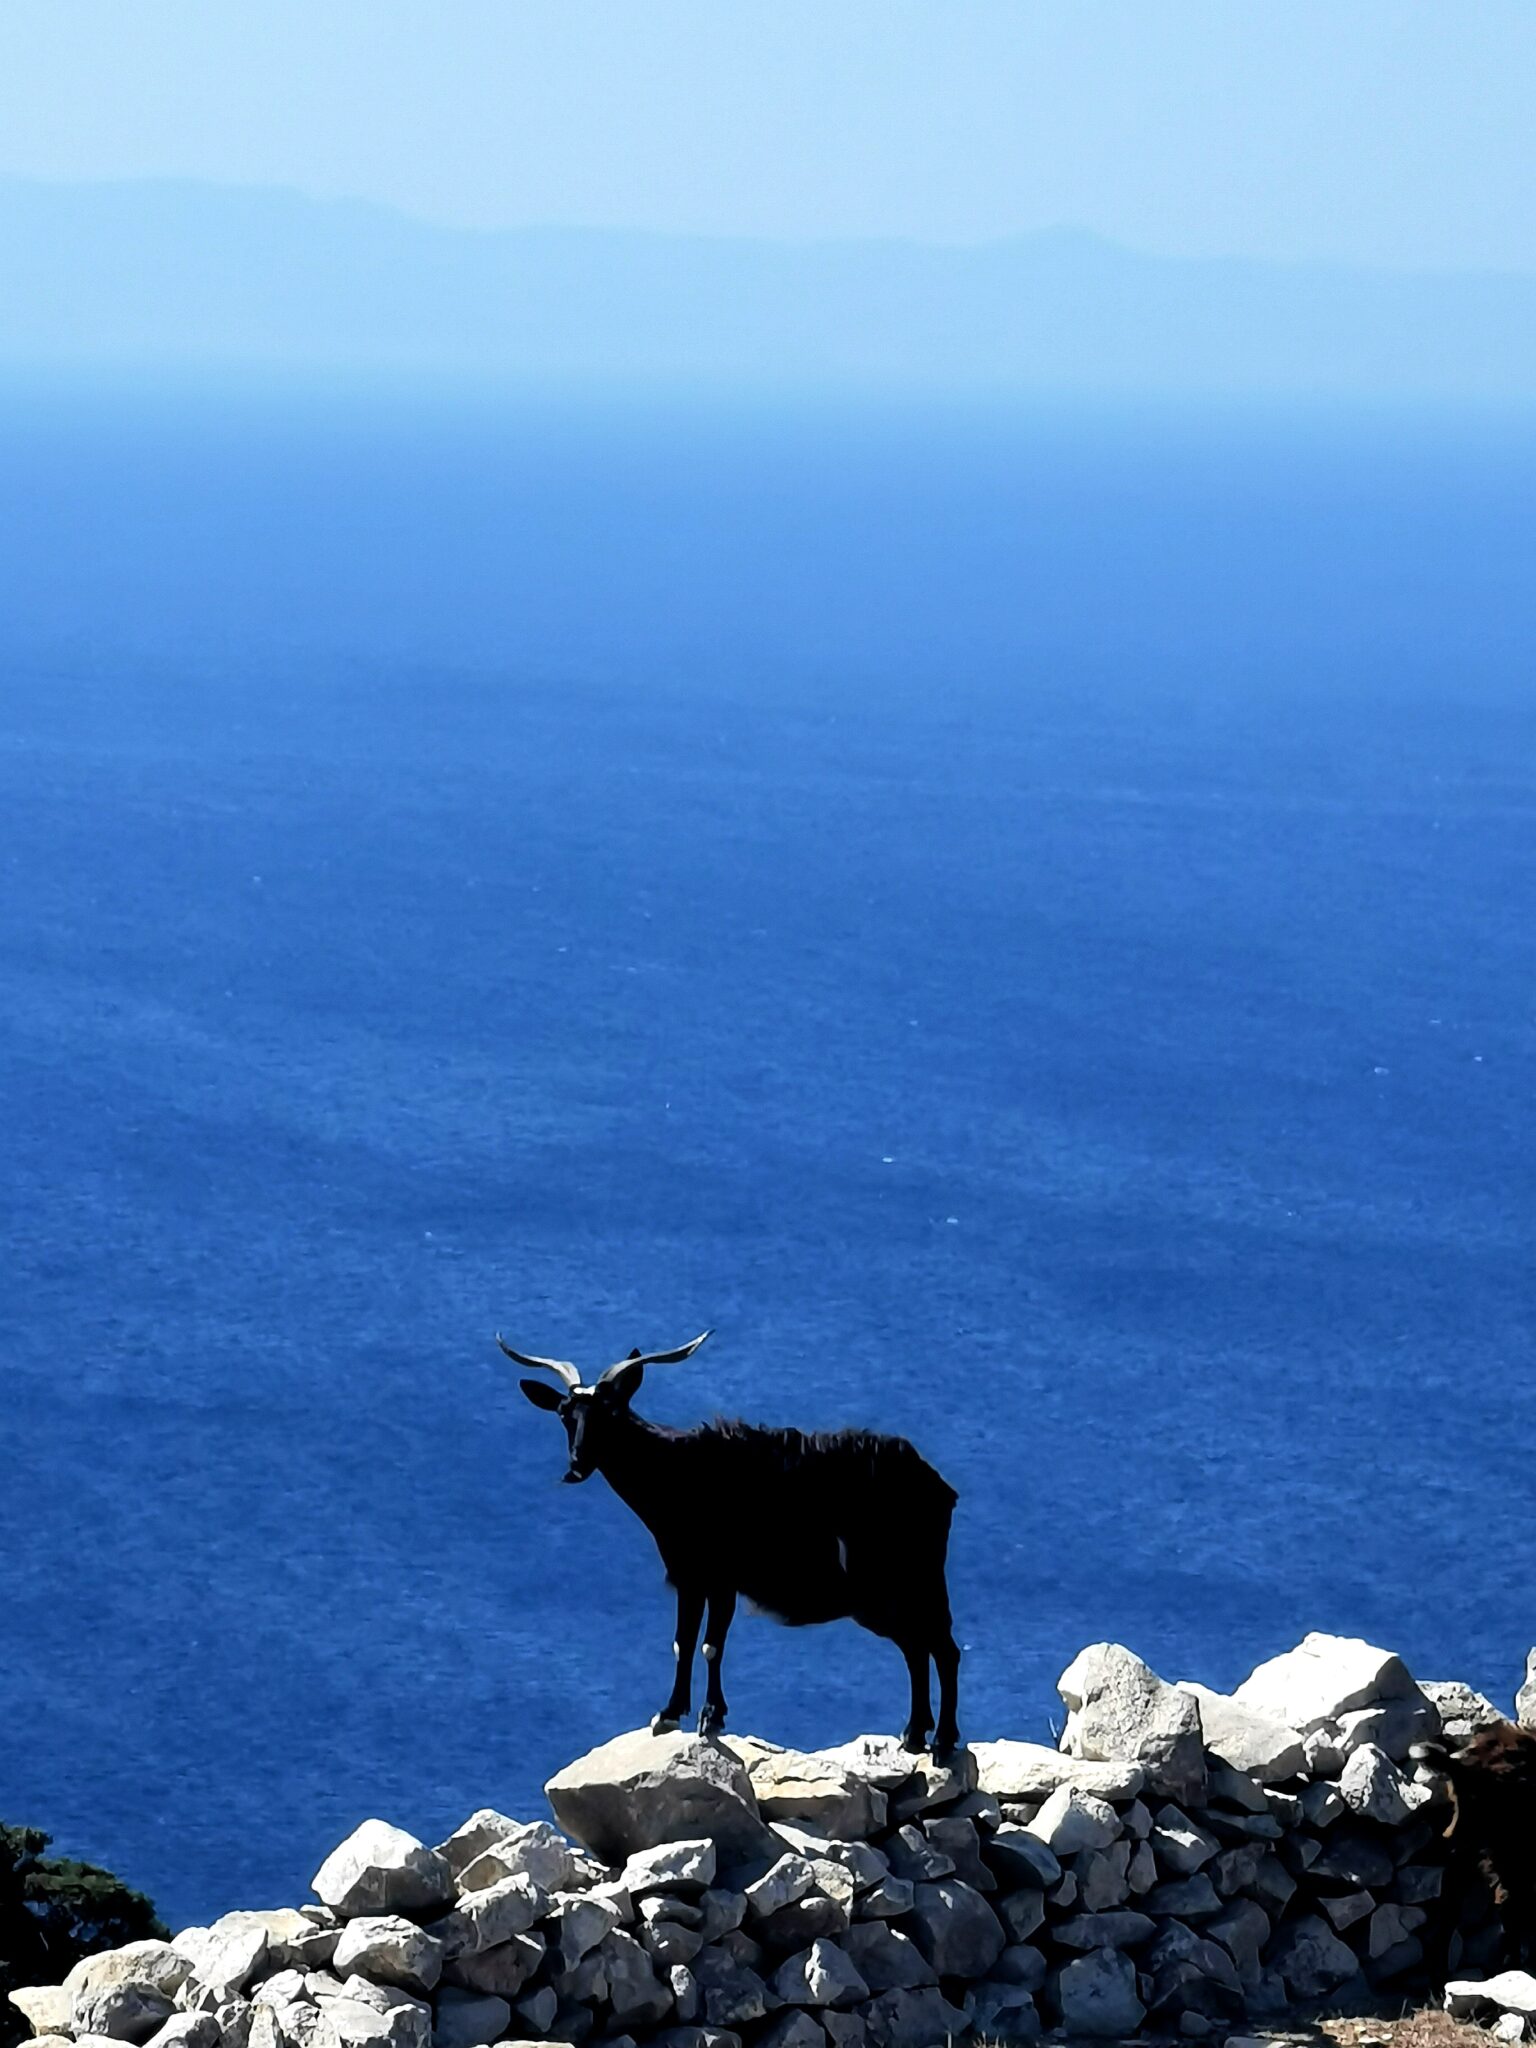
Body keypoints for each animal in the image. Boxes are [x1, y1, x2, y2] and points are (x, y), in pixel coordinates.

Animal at [505, 1335, 962, 1753]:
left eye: (610, 1413)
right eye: (565, 1414)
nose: (577, 1466)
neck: (678, 1473)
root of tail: (938, 1487)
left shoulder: (722, 1578)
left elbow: (711, 1645)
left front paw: (710, 1717)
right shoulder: (690, 1577)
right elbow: (683, 1641)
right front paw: (670, 1714)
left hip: (907, 1583)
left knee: (942, 1648)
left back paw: (941, 1741)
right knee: (918, 1648)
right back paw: (914, 1735)